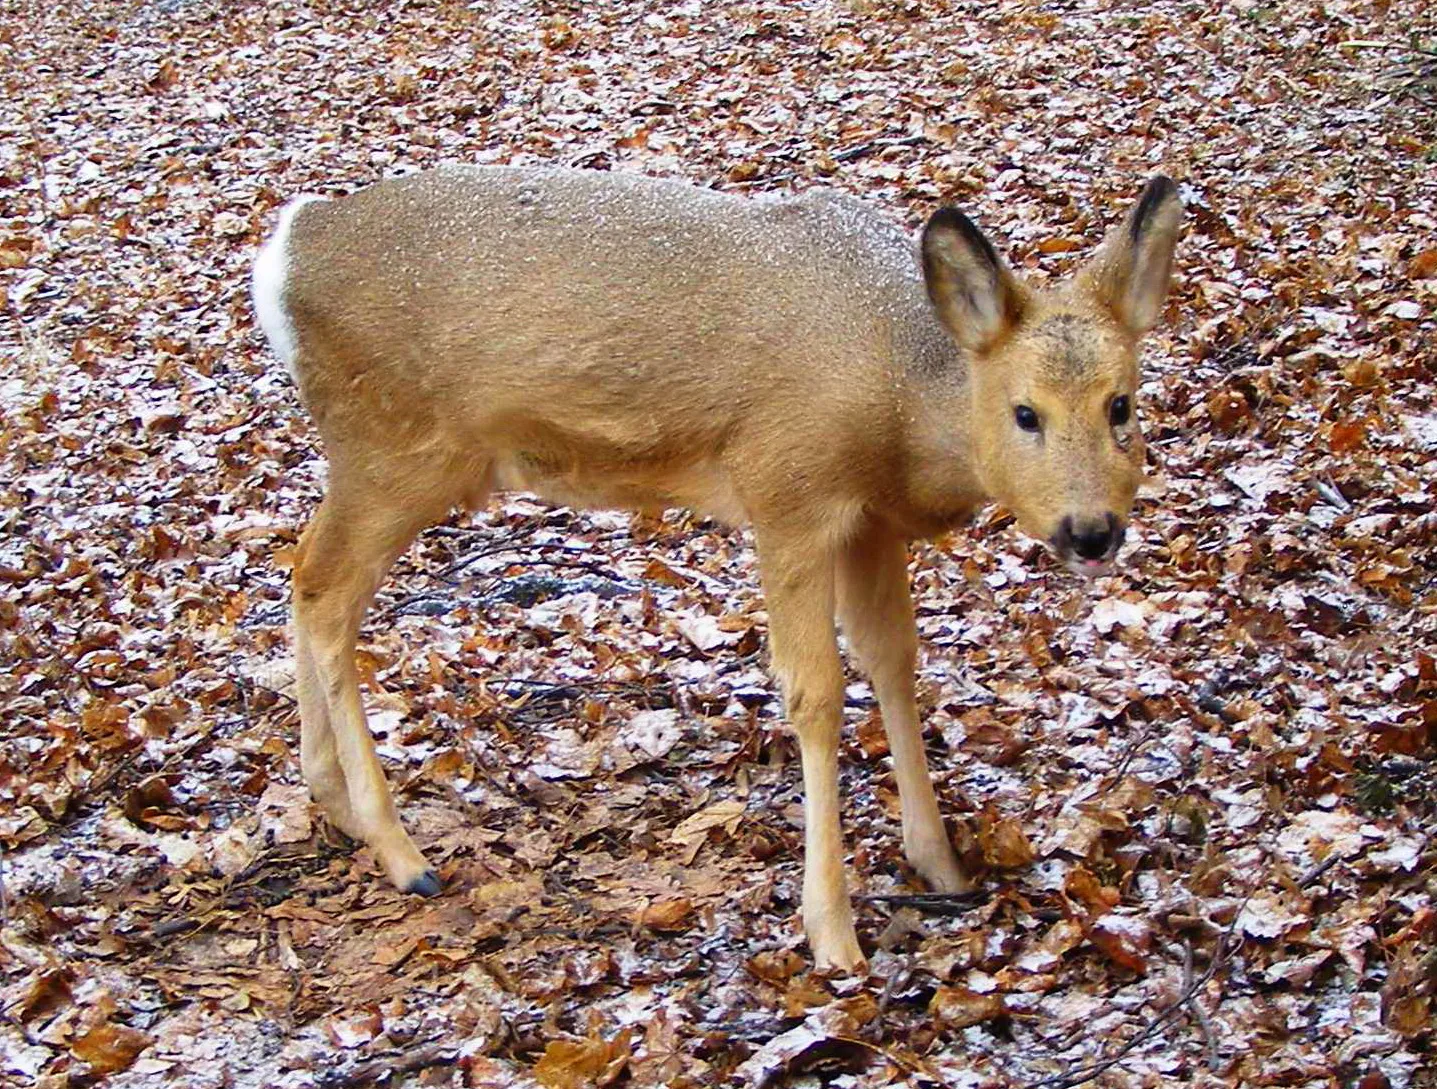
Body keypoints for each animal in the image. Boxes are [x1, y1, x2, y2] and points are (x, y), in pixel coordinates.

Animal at [252, 166, 1184, 976]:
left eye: (1122, 404)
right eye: (1024, 412)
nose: (1091, 529)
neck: (898, 402)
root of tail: (287, 248)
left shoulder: (868, 523)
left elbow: (893, 662)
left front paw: (940, 862)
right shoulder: (789, 490)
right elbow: (815, 694)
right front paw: (831, 930)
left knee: (301, 573)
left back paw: (333, 800)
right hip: (395, 445)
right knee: (326, 591)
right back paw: (400, 848)